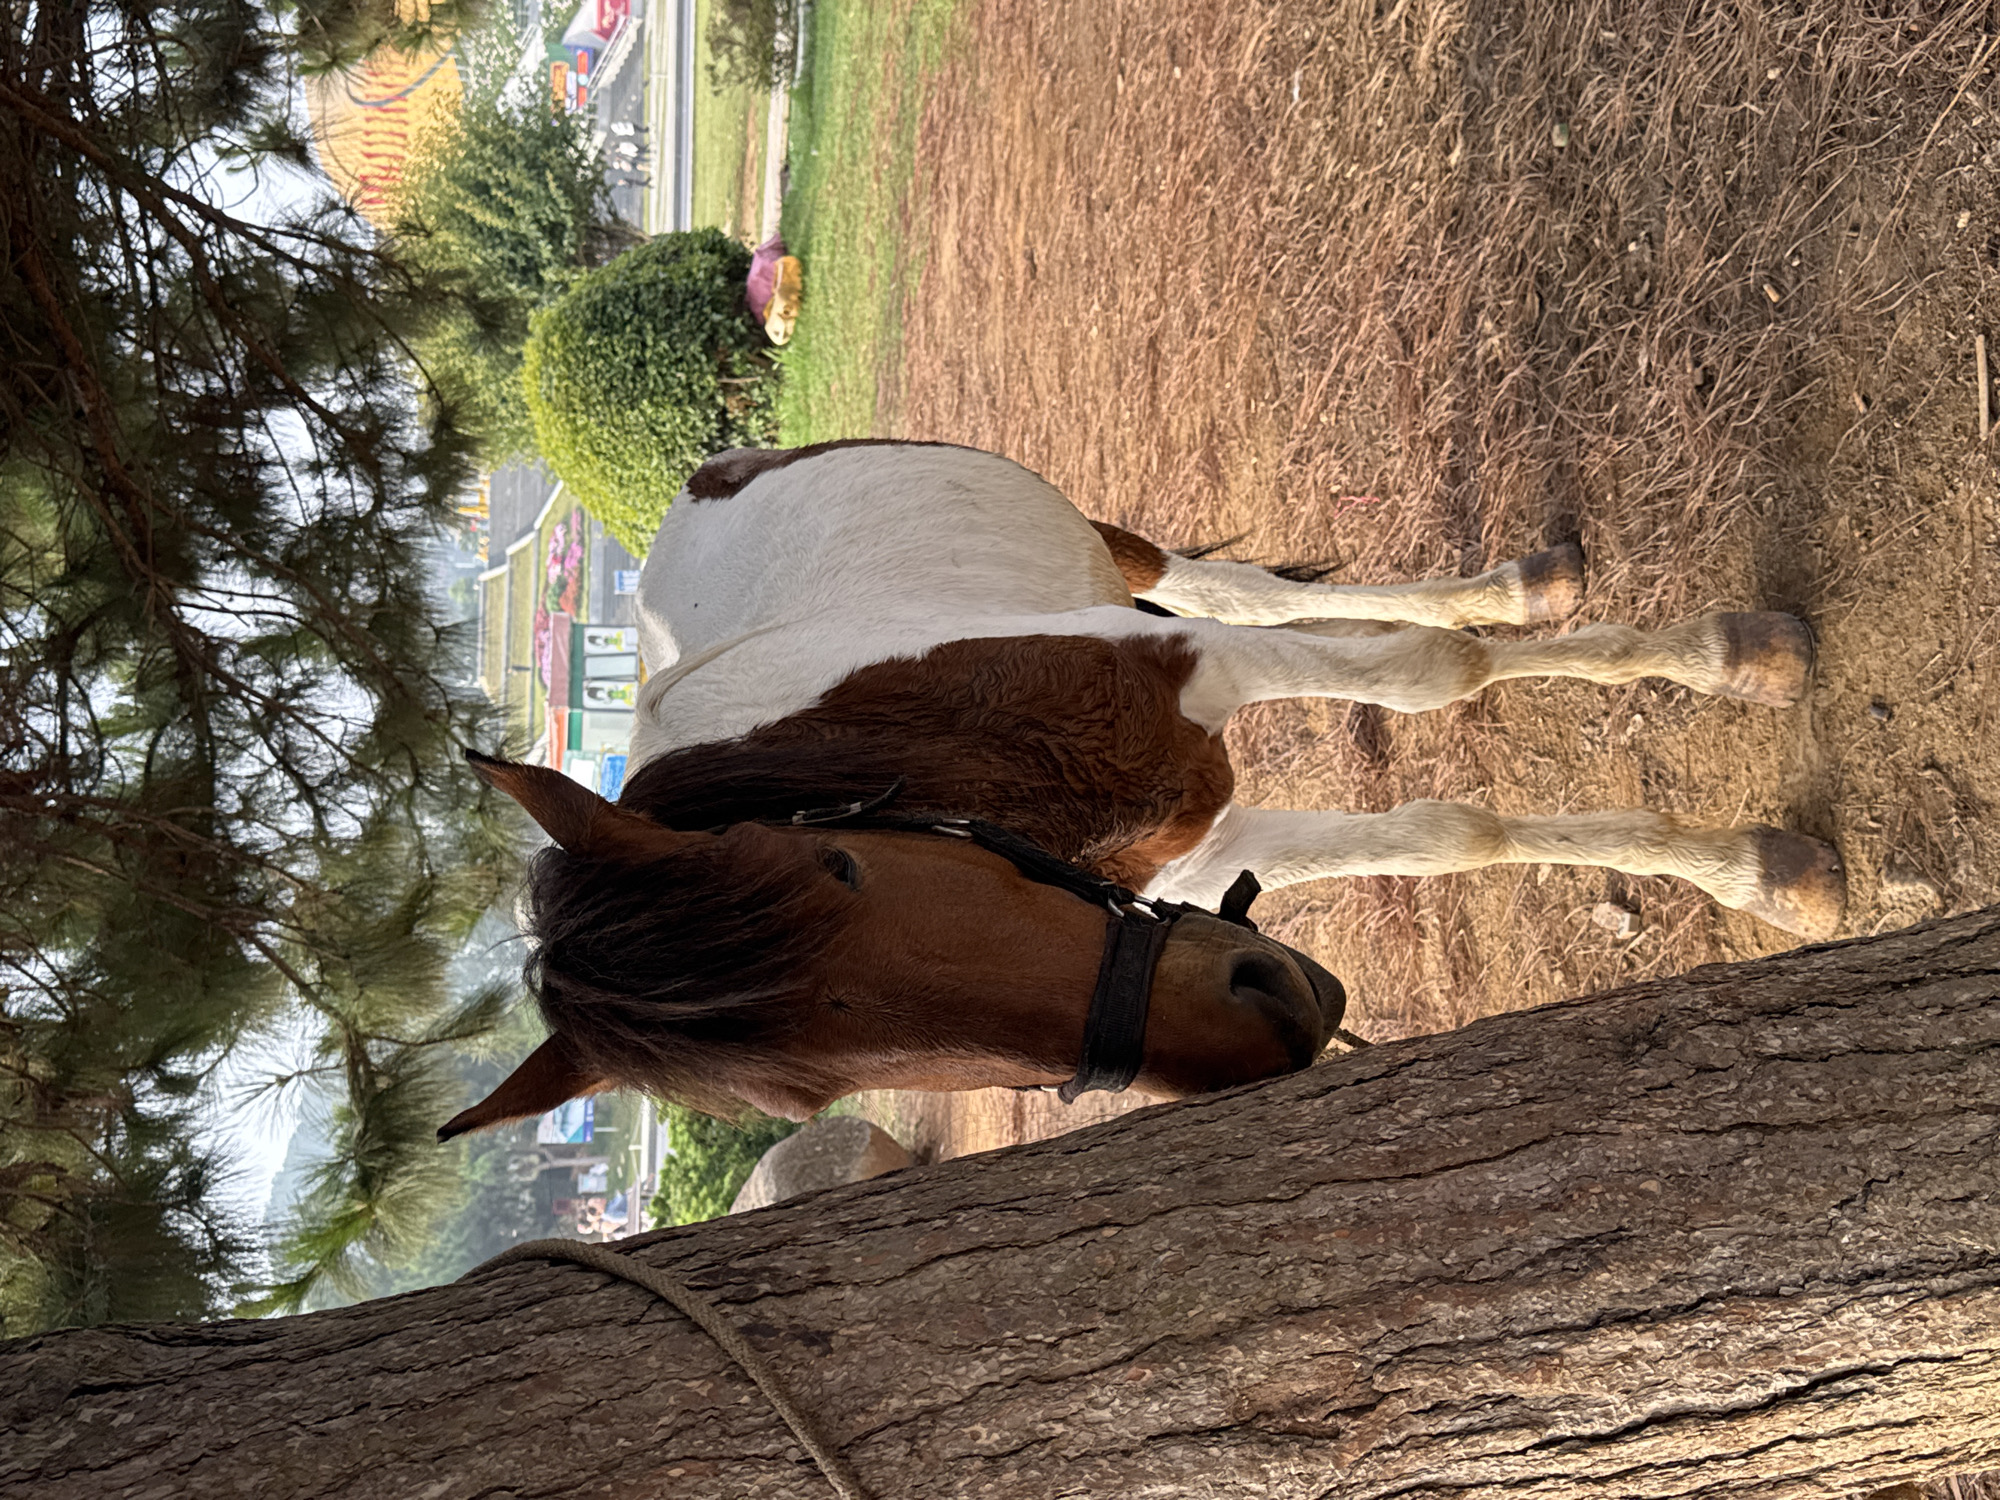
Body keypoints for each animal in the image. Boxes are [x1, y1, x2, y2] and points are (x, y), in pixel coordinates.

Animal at [441, 439, 1843, 1138]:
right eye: (798, 1097)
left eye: (840, 868)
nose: (1266, 1027)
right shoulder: (1195, 848)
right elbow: (1448, 829)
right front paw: (1753, 867)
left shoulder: (1193, 666)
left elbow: (1427, 675)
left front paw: (1738, 694)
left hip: (1118, 553)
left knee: (1241, 585)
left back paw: (1520, 589)